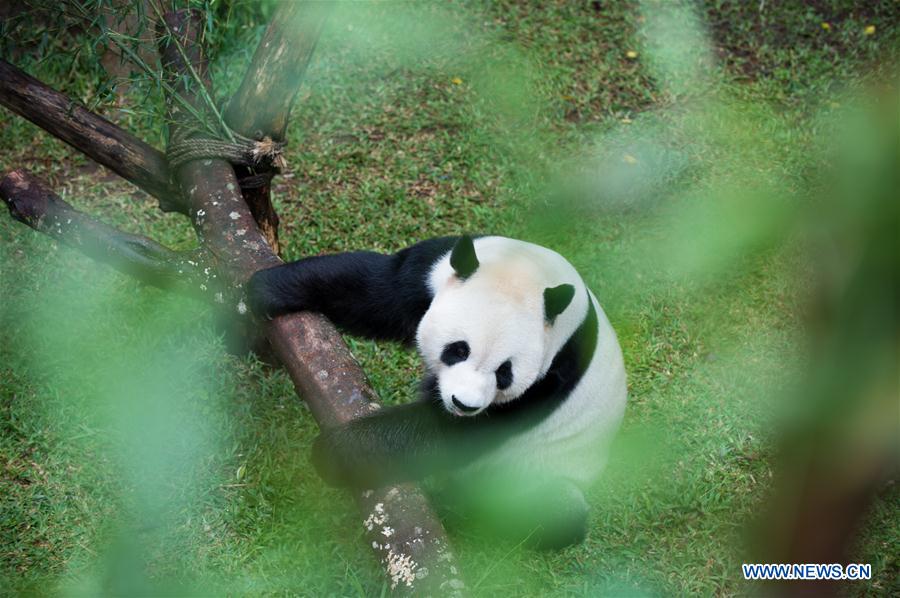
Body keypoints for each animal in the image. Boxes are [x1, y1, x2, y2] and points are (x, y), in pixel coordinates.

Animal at [247, 235, 627, 548]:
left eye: (505, 373)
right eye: (458, 349)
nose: (464, 404)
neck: (529, 271)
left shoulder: (550, 376)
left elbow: (450, 434)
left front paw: (333, 453)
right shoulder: (431, 270)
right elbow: (375, 291)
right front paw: (264, 290)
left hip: (541, 471)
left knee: (551, 511)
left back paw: (456, 508)